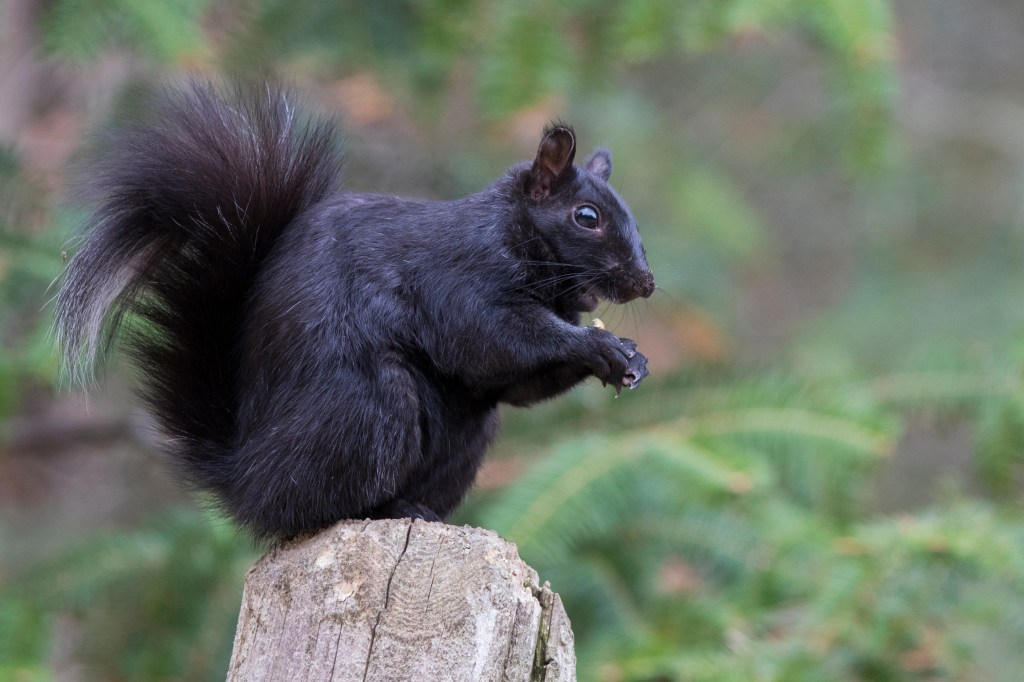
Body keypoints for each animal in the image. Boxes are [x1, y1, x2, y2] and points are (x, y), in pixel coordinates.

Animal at [56, 80, 651, 536]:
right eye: (587, 216)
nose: (645, 283)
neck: (514, 237)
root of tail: (247, 479)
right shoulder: (458, 281)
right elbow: (491, 339)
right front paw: (599, 345)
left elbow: (516, 385)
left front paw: (628, 358)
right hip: (371, 409)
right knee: (321, 508)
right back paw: (389, 509)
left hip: (464, 434)